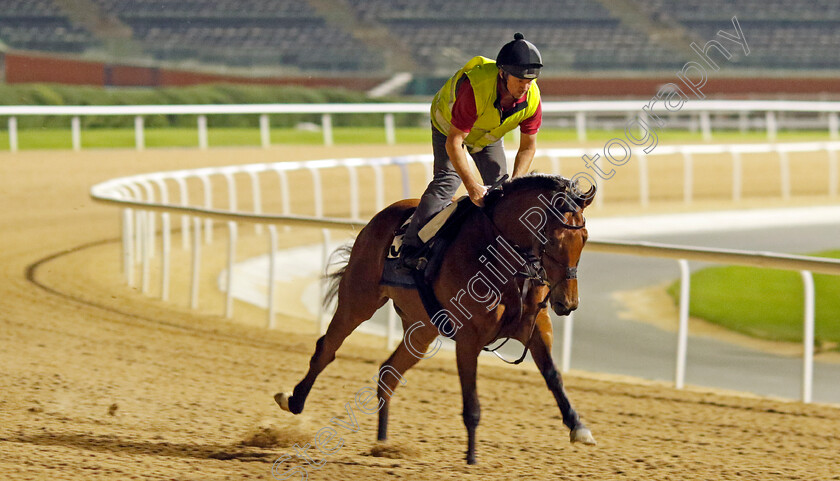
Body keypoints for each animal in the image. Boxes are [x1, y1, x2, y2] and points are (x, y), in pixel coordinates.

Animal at [276, 174, 596, 464]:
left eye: (584, 239)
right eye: (553, 240)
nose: (567, 303)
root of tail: (378, 218)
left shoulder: (536, 326)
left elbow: (553, 376)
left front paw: (578, 426)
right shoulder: (468, 338)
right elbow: (471, 399)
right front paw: (471, 456)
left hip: (422, 331)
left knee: (388, 372)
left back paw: (382, 443)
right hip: (358, 301)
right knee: (327, 348)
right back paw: (294, 400)